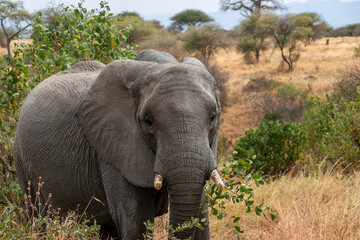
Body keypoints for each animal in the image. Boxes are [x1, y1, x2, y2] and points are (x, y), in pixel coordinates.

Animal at [14, 49, 224, 240]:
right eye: (148, 122)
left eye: (213, 117)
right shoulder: (114, 148)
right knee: (39, 218)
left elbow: (201, 218)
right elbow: (136, 221)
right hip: (23, 163)